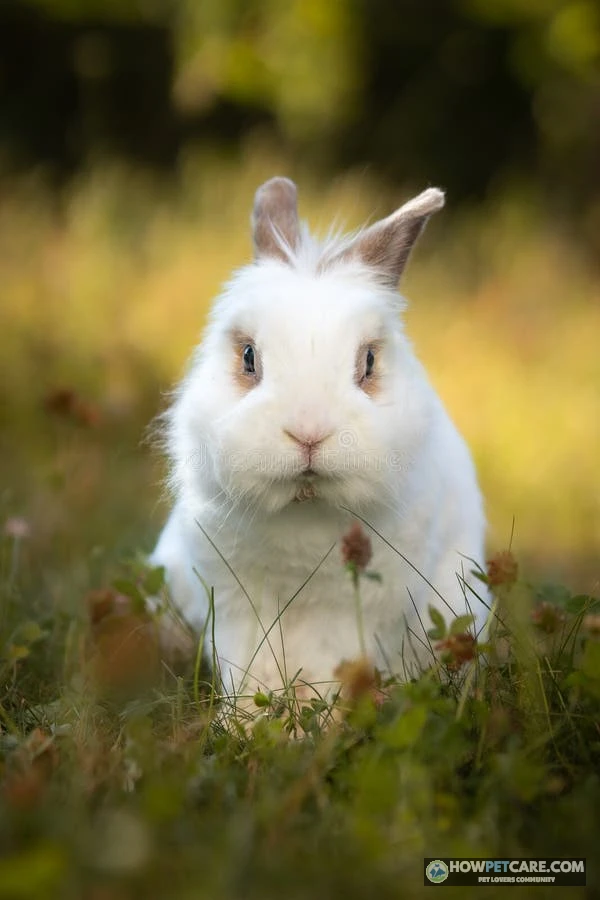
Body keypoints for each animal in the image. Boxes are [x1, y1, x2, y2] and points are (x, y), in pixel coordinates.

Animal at [151, 177, 489, 705]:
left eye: (368, 362)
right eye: (249, 357)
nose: (308, 432)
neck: (304, 506)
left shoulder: (355, 613)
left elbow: (333, 668)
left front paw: (319, 716)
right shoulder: (235, 607)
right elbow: (247, 670)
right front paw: (246, 719)